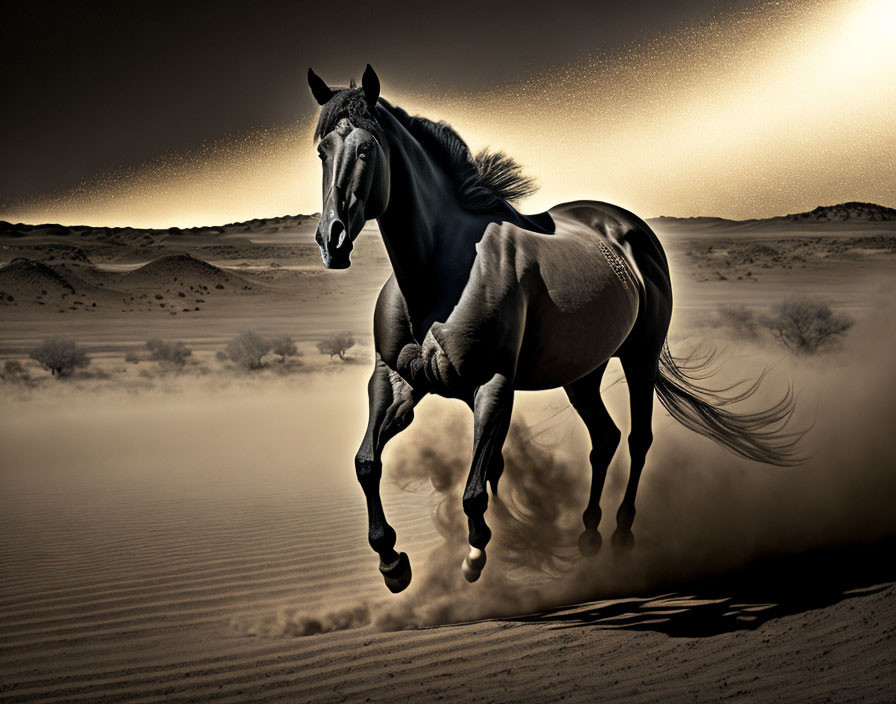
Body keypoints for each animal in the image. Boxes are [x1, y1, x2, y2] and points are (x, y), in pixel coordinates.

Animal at [306, 64, 800, 592]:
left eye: (367, 149)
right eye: (322, 151)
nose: (332, 240)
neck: (442, 272)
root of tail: (627, 227)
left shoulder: (493, 384)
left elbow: (476, 489)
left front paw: (476, 555)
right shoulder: (395, 379)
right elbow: (368, 463)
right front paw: (393, 563)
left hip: (639, 357)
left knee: (638, 439)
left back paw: (620, 536)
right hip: (581, 373)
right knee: (604, 438)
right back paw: (588, 535)